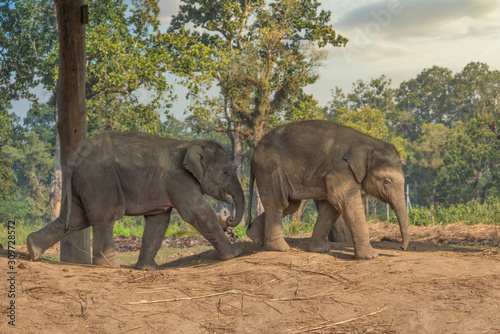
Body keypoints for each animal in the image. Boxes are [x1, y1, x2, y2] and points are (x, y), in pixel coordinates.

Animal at [26, 132, 245, 270]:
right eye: (226, 172)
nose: (230, 218)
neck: (189, 143)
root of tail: (74, 159)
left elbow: (159, 220)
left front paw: (148, 269)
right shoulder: (179, 179)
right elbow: (196, 212)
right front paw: (235, 254)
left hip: (82, 184)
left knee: (74, 220)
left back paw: (32, 250)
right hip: (99, 181)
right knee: (105, 217)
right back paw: (110, 266)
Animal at [246, 118, 410, 260]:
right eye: (387, 181)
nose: (401, 248)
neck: (366, 141)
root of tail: (253, 154)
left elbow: (331, 206)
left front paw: (320, 250)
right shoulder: (340, 168)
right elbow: (345, 201)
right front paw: (371, 256)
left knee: (290, 205)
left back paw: (254, 236)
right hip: (270, 169)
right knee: (278, 203)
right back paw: (280, 248)